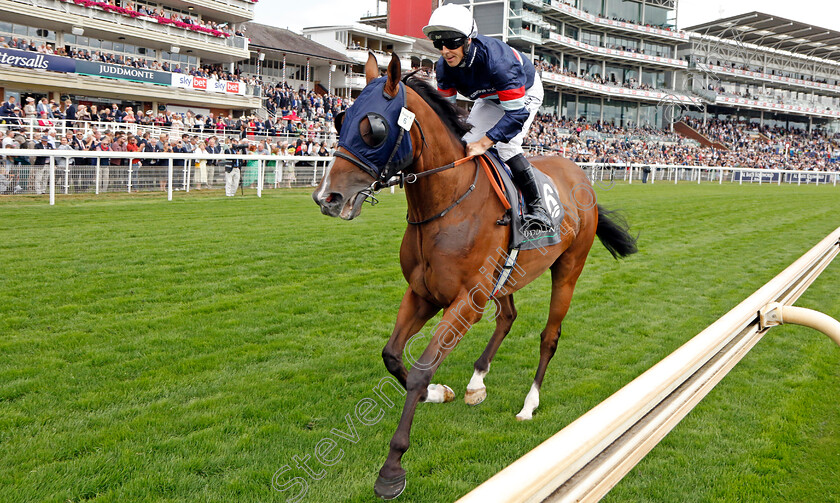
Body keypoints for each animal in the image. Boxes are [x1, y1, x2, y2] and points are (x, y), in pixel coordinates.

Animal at [314, 53, 636, 502]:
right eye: (339, 117)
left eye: (373, 127)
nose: (328, 197)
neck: (448, 203)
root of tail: (579, 174)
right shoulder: (423, 293)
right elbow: (393, 355)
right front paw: (439, 393)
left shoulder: (466, 300)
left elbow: (421, 369)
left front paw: (392, 468)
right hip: (506, 278)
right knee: (509, 315)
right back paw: (477, 380)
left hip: (569, 268)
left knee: (549, 336)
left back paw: (529, 404)